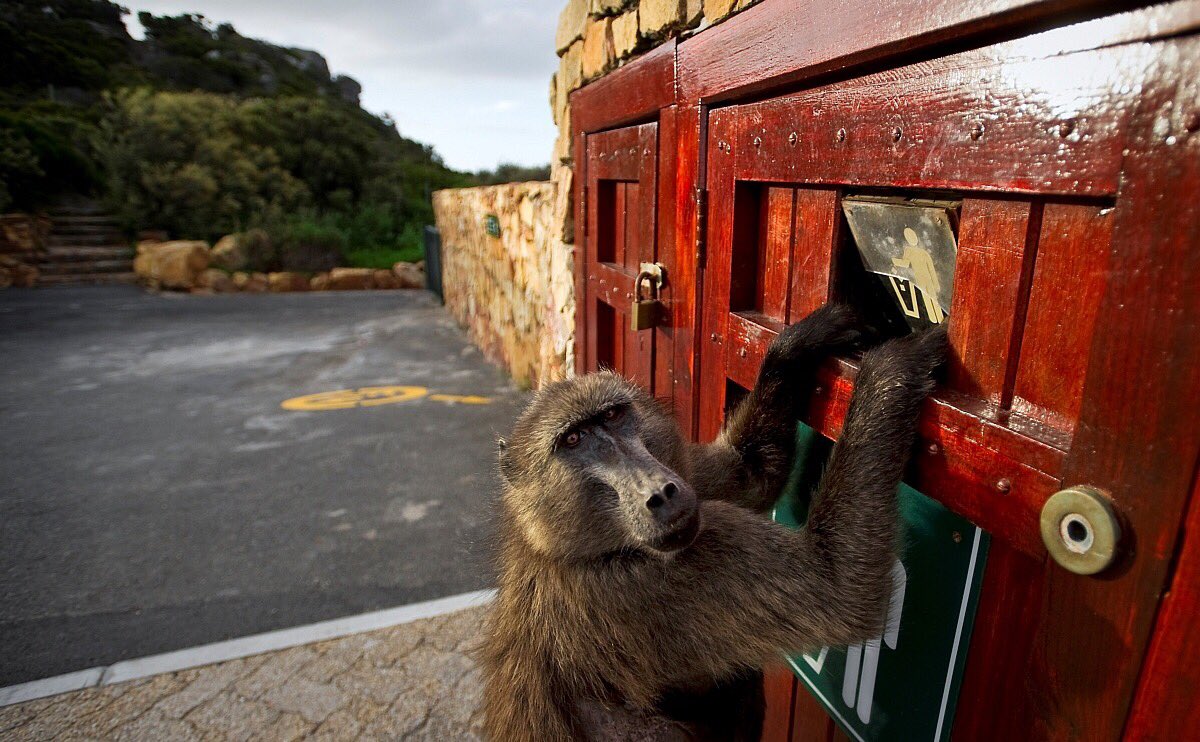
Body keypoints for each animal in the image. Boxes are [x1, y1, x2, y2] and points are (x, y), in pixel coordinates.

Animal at [479, 304, 947, 740]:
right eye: (573, 440)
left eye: (613, 416)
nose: (661, 493)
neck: (560, 549)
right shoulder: (646, 588)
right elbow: (840, 591)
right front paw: (893, 366)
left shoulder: (686, 478)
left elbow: (749, 473)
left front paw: (801, 342)